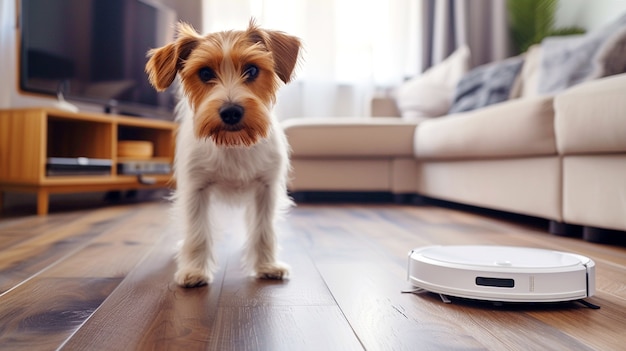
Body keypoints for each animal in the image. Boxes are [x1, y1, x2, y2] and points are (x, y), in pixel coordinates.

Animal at [147, 20, 302, 288]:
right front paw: (195, 270)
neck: (233, 145)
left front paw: (266, 266)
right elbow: (197, 232)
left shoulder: (266, 190)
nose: (231, 112)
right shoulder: (195, 190)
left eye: (251, 70)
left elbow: (263, 230)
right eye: (205, 73)